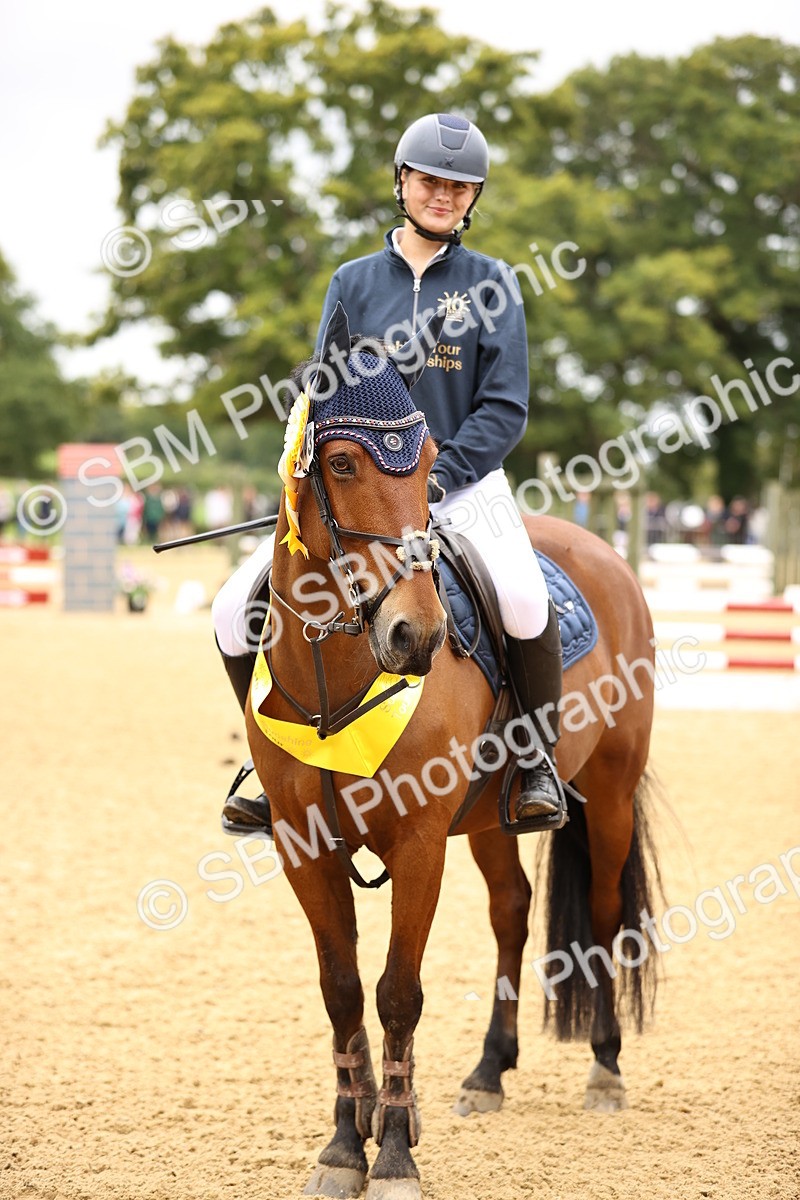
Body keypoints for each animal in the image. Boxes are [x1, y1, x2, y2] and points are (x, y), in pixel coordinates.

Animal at [243, 303, 661, 1200]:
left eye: (432, 463)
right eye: (340, 461)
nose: (418, 634)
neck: (339, 676)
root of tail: (604, 553)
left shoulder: (419, 841)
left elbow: (399, 992)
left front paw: (395, 1154)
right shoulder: (305, 846)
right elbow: (341, 990)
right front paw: (346, 1144)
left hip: (609, 791)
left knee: (605, 913)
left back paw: (605, 1068)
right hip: (492, 821)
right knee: (512, 910)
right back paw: (488, 1072)